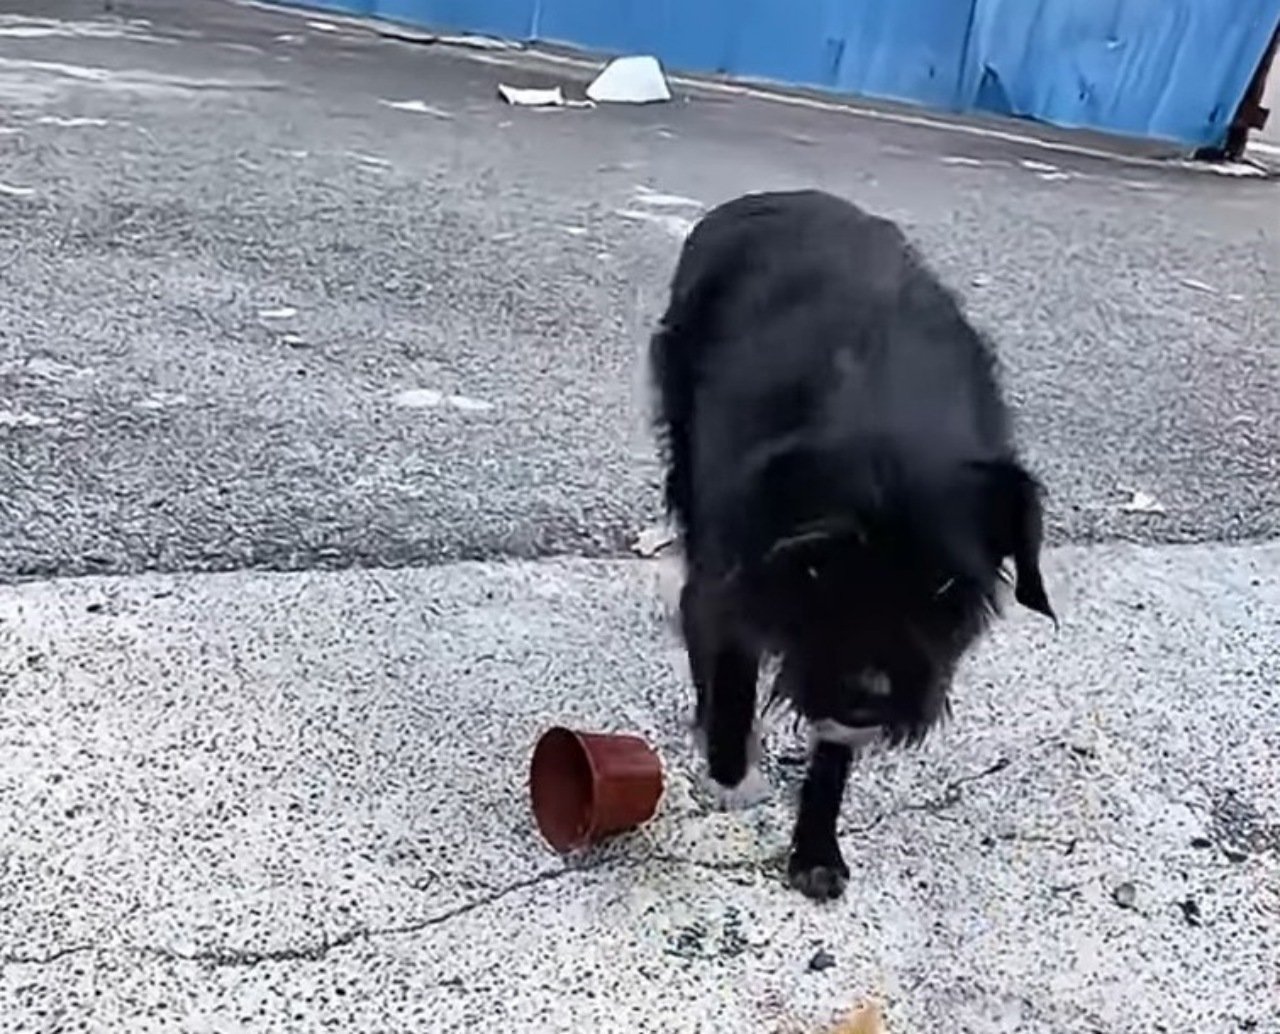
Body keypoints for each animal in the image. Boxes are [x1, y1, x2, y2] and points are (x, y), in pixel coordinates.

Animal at [645, 189, 1054, 900]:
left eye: (945, 583)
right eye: (814, 570)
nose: (869, 693)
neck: (888, 408)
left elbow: (832, 753)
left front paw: (815, 844)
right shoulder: (736, 573)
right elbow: (729, 662)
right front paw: (729, 766)